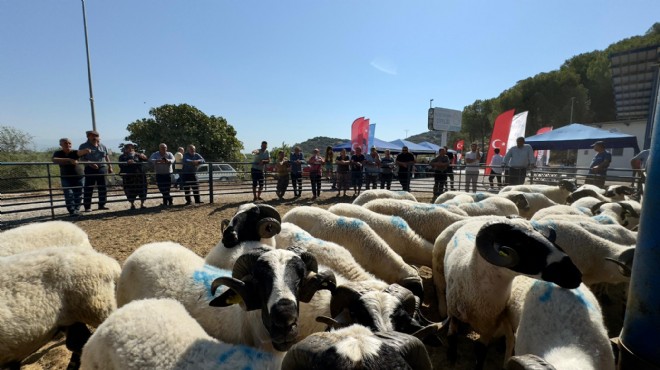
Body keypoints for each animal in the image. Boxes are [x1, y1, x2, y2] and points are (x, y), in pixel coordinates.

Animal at [440, 218, 580, 368]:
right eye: (520, 243)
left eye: (539, 232)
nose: (576, 275)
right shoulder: (454, 312)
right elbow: (452, 335)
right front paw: (451, 356)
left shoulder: (490, 326)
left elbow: (481, 351)